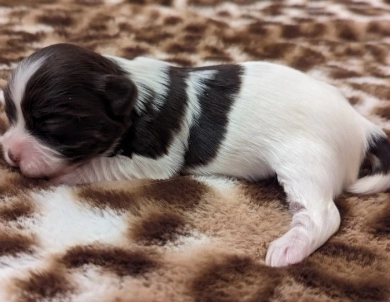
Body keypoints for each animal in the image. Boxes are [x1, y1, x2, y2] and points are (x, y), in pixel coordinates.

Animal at [0, 43, 390, 266]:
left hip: (306, 161)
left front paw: (63, 174)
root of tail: (360, 124)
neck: (133, 92)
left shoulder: (155, 157)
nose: (10, 154)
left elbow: (99, 165)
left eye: (50, 122)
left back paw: (289, 249)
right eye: (11, 113)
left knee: (324, 215)